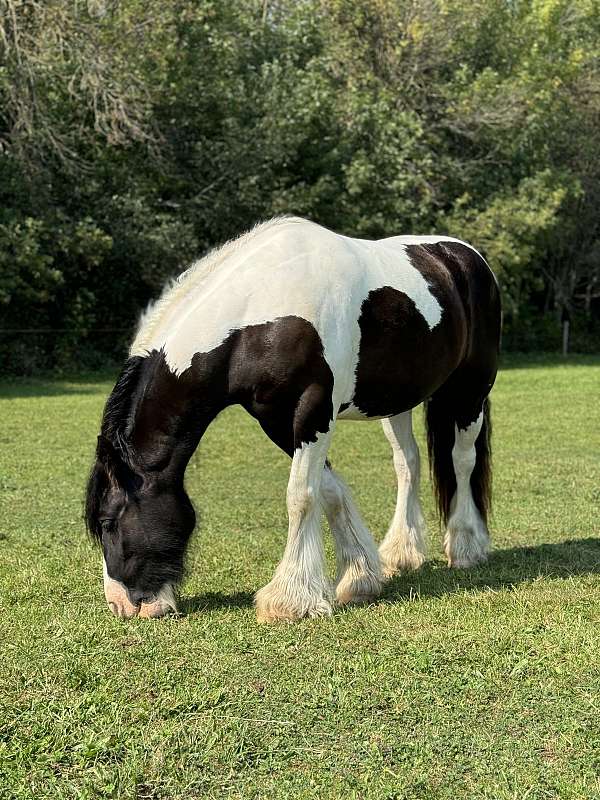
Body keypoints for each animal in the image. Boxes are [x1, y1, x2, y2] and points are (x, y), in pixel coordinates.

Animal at [85, 217, 502, 624]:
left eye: (107, 522)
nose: (120, 606)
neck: (261, 309)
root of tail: (465, 256)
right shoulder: (279, 422)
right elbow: (329, 490)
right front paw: (360, 577)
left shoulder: (312, 412)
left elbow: (301, 495)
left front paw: (290, 599)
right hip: (396, 402)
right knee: (408, 463)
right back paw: (402, 553)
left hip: (470, 390)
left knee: (462, 460)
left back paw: (466, 546)